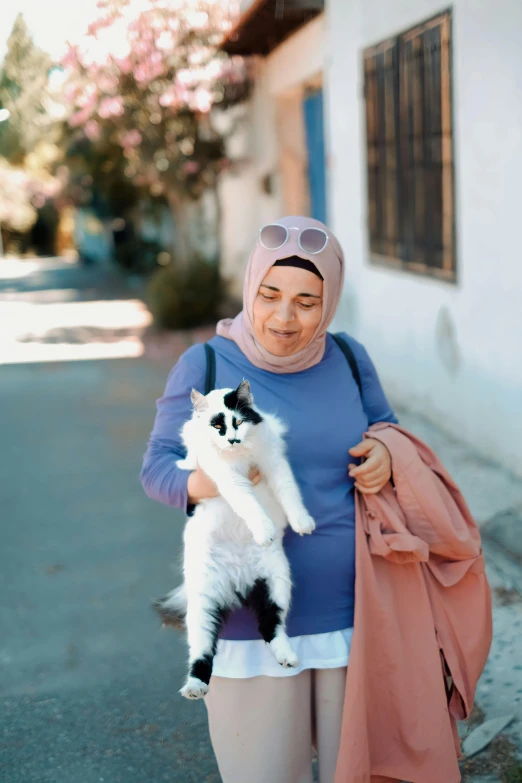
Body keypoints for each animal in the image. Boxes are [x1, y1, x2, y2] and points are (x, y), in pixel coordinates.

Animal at [153, 376, 312, 700]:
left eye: (238, 422)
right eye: (218, 426)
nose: (233, 440)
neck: (240, 456)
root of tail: (238, 581)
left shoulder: (274, 462)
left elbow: (290, 493)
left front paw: (302, 522)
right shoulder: (228, 478)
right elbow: (249, 504)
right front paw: (264, 531)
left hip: (277, 583)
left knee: (272, 627)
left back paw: (287, 657)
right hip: (202, 603)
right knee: (202, 651)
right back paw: (194, 687)